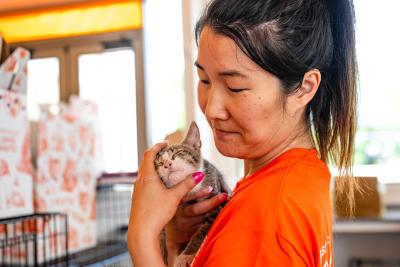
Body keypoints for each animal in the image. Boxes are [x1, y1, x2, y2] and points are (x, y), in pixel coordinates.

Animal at [156, 122, 231, 267]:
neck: (191, 191)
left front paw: (184, 256)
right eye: (159, 163)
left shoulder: (214, 203)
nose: (167, 164)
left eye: (178, 153)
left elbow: (201, 233)